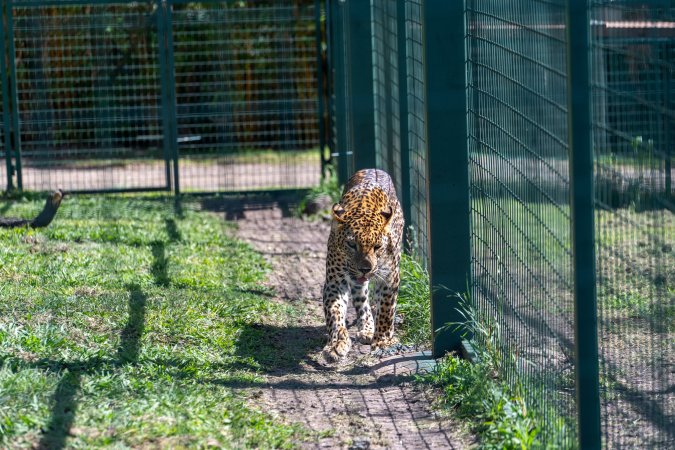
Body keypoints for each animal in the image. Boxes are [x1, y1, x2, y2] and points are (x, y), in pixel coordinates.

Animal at [322, 168, 404, 362]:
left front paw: (382, 341)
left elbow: (386, 311)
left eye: (377, 247)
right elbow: (334, 314)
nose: (365, 269)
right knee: (362, 301)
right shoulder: (335, 283)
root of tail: (373, 169)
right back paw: (366, 328)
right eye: (352, 244)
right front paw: (336, 344)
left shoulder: (390, 278)